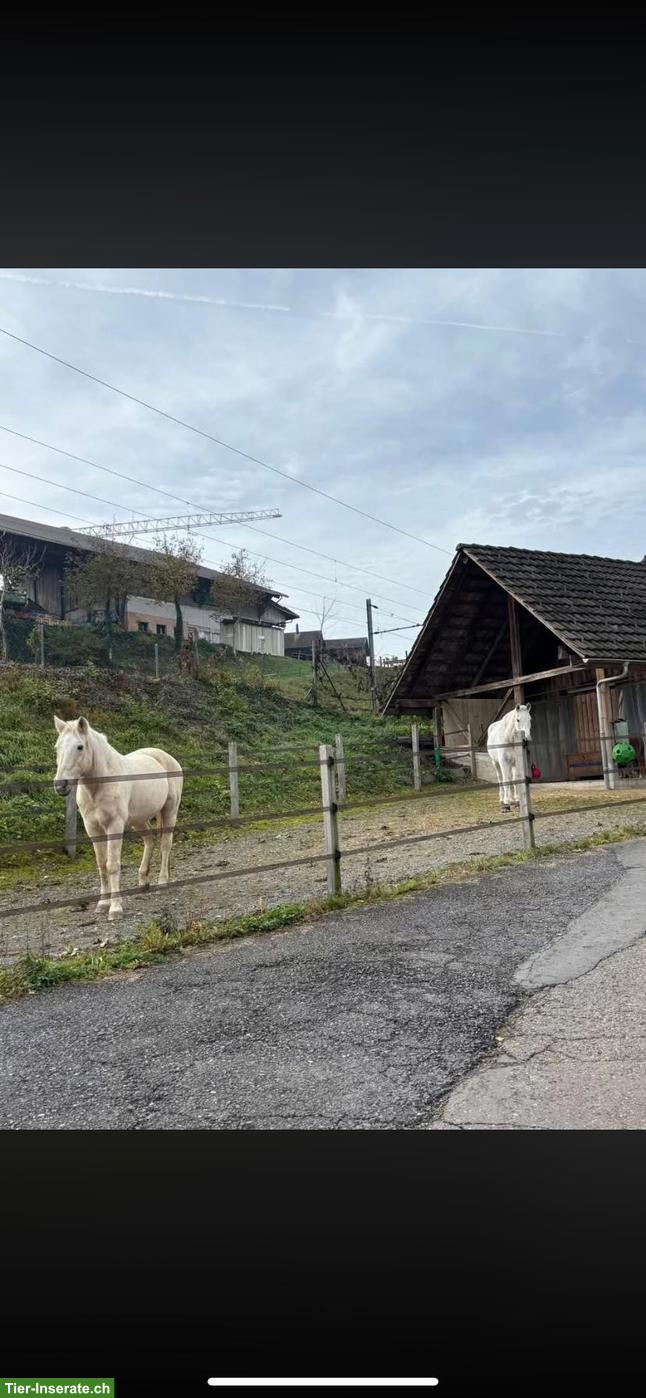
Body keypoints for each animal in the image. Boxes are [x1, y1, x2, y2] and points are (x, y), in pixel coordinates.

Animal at [53, 715, 183, 921]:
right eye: (57, 748)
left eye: (80, 747)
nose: (60, 785)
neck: (101, 784)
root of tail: (166, 757)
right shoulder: (93, 828)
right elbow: (101, 865)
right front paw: (102, 904)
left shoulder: (114, 826)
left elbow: (112, 865)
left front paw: (115, 908)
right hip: (139, 820)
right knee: (150, 840)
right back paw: (143, 880)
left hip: (169, 811)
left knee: (165, 844)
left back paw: (162, 882)